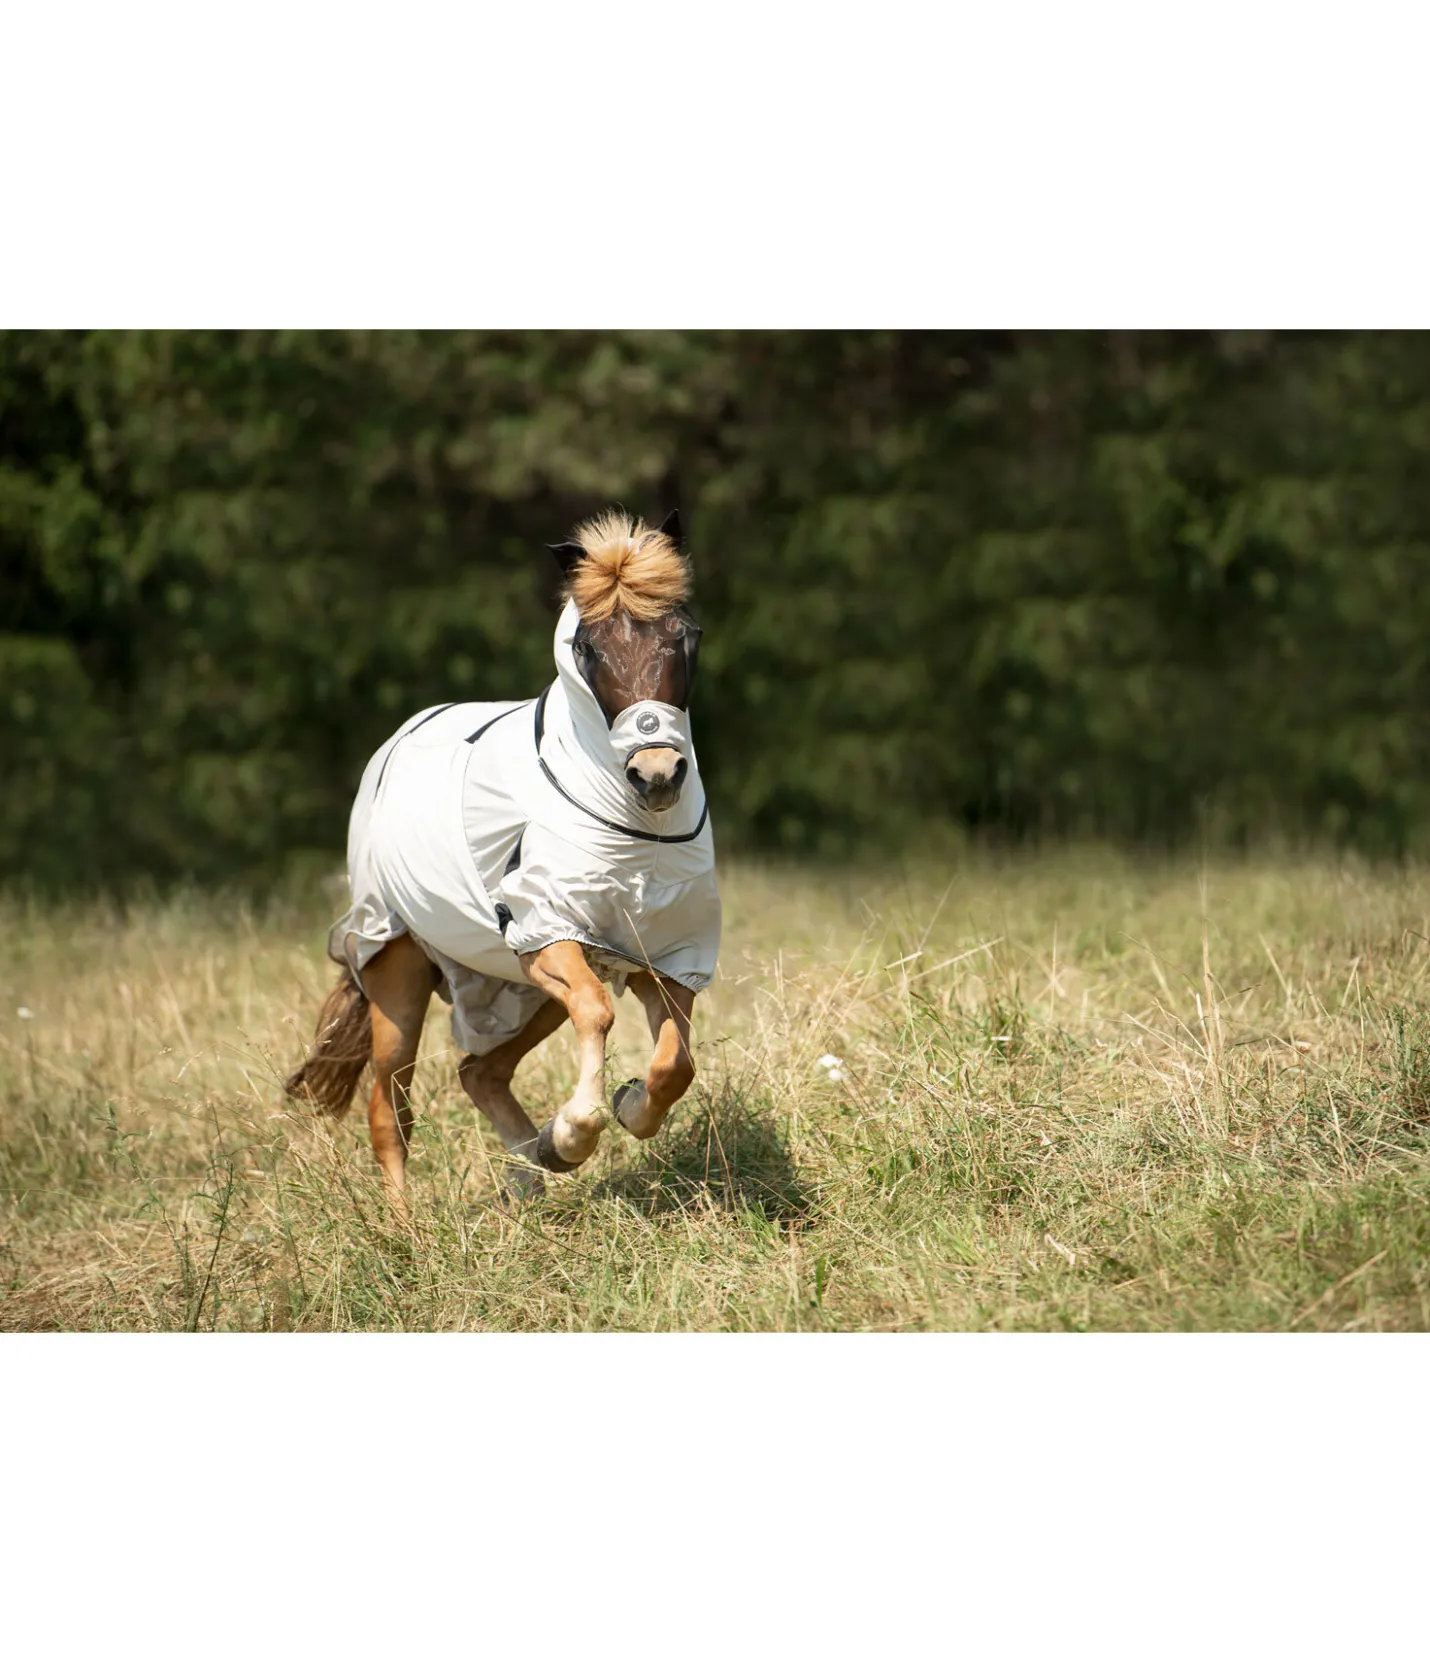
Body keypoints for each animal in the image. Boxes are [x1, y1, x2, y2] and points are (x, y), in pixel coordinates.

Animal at [284, 509, 720, 1216]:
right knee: (389, 1107)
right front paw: (576, 1130)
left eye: (685, 634)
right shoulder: (547, 931)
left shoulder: (669, 957)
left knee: (479, 1069)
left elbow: (674, 1064)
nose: (657, 774)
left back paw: (531, 1169)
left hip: (513, 985)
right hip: (398, 975)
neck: (638, 837)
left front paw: (618, 1111)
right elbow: (598, 1009)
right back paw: (407, 1227)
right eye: (587, 647)